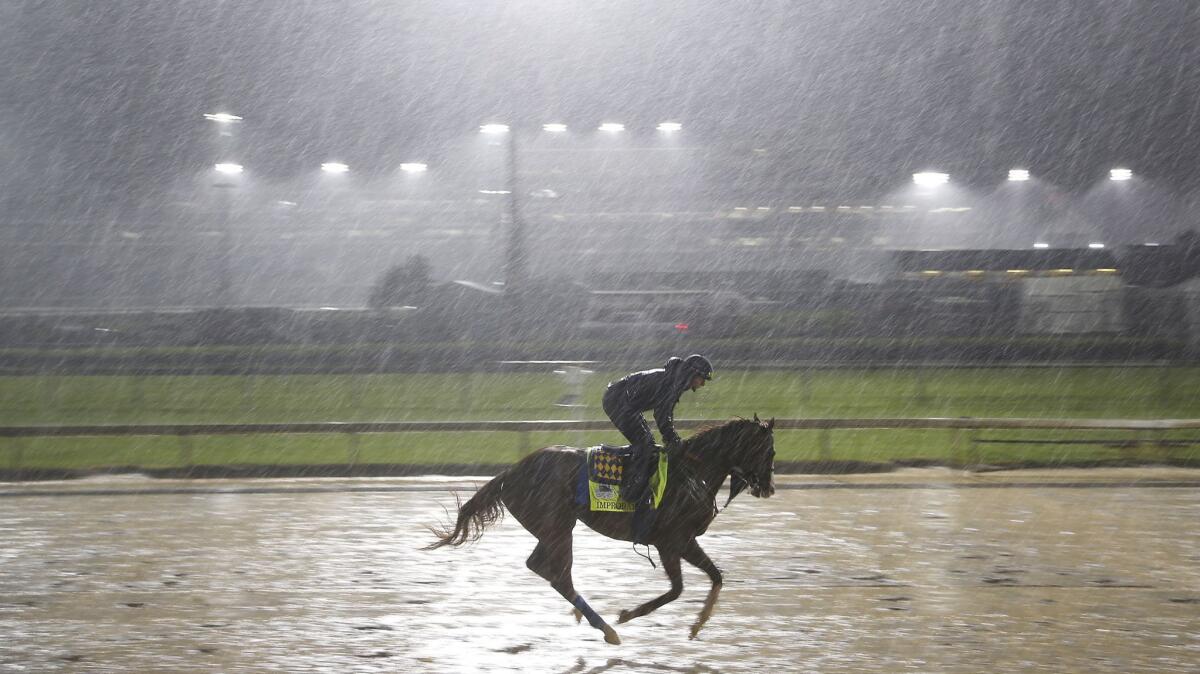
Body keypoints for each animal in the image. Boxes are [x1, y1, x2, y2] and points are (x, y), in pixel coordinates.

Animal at [429, 414, 777, 638]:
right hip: (558, 527)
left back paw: (582, 614)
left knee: (543, 567)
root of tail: (509, 473)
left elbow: (716, 577)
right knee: (558, 576)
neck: (694, 473)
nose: (769, 488)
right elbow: (677, 589)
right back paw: (607, 629)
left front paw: (698, 625)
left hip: (553, 529)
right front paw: (627, 615)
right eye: (770, 450)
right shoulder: (671, 541)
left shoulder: (684, 541)